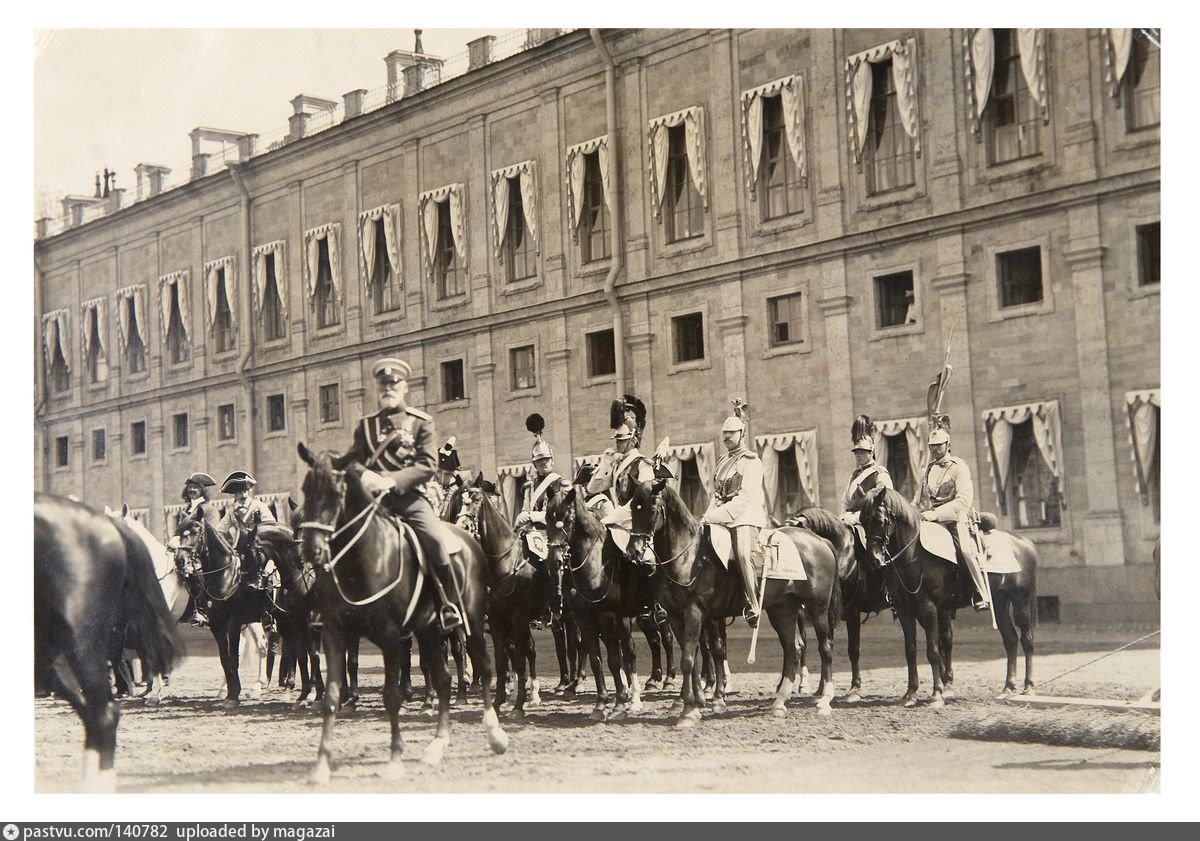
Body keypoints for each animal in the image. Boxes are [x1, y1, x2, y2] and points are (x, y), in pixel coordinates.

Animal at [297, 446, 508, 782]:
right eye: (306, 489)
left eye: (335, 492)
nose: (311, 550)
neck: (361, 559)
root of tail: (466, 538)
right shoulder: (334, 634)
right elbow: (330, 697)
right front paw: (321, 765)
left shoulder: (390, 638)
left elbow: (391, 696)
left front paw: (395, 758)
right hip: (430, 630)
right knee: (444, 679)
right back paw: (438, 744)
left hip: (473, 622)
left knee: (484, 667)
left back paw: (494, 733)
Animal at [544, 482, 648, 719]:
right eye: (546, 518)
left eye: (568, 518)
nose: (554, 561)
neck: (596, 563)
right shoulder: (585, 619)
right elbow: (595, 659)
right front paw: (601, 704)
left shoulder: (610, 618)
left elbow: (614, 660)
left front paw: (618, 704)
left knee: (630, 654)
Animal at [624, 475, 840, 724]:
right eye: (632, 507)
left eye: (651, 508)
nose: (633, 552)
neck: (689, 555)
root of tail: (819, 540)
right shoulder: (678, 617)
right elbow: (692, 658)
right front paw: (694, 702)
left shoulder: (695, 613)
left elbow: (689, 659)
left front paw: (690, 710)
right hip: (782, 609)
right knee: (793, 649)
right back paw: (779, 703)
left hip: (817, 608)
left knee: (825, 647)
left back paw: (824, 700)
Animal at [859, 484, 1036, 700]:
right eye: (862, 520)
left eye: (879, 519)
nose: (874, 560)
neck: (913, 555)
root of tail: (1025, 543)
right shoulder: (904, 610)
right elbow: (911, 650)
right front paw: (910, 693)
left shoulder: (929, 608)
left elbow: (933, 651)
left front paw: (937, 693)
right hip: (1000, 603)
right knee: (1010, 639)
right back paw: (1008, 687)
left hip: (1021, 601)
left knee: (1027, 639)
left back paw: (1028, 686)